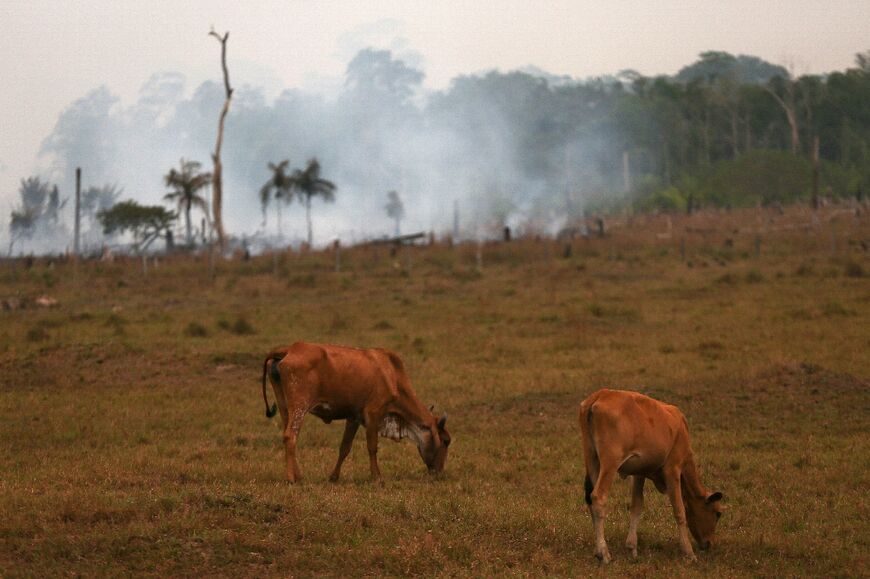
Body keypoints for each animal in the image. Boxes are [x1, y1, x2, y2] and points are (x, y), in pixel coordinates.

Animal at [260, 342, 454, 482]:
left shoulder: (353, 417)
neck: (393, 376)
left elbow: (344, 448)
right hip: (300, 406)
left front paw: (334, 477)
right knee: (290, 436)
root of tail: (289, 349)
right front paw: (377, 477)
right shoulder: (373, 414)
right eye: (446, 441)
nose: (440, 473)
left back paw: (298, 475)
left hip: (285, 407)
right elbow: (372, 447)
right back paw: (292, 479)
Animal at [584, 390, 724, 560]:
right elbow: (679, 510)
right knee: (598, 497)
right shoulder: (672, 469)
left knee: (590, 499)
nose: (710, 543)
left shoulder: (639, 473)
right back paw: (603, 552)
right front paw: (688, 552)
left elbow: (637, 506)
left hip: (592, 459)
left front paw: (632, 547)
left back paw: (597, 548)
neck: (679, 429)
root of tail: (600, 395)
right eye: (718, 513)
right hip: (610, 463)